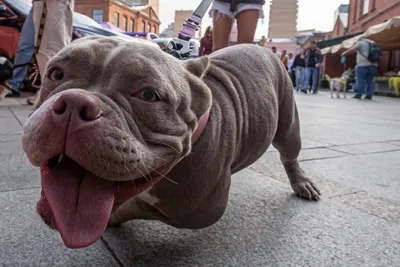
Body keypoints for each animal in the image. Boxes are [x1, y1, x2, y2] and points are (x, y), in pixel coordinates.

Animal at [22, 35, 322, 249]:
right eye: (56, 74)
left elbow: (137, 206)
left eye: (148, 95)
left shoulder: (195, 211)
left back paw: (302, 183)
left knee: (290, 154)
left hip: (288, 126)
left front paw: (113, 216)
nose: (75, 103)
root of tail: (261, 47)